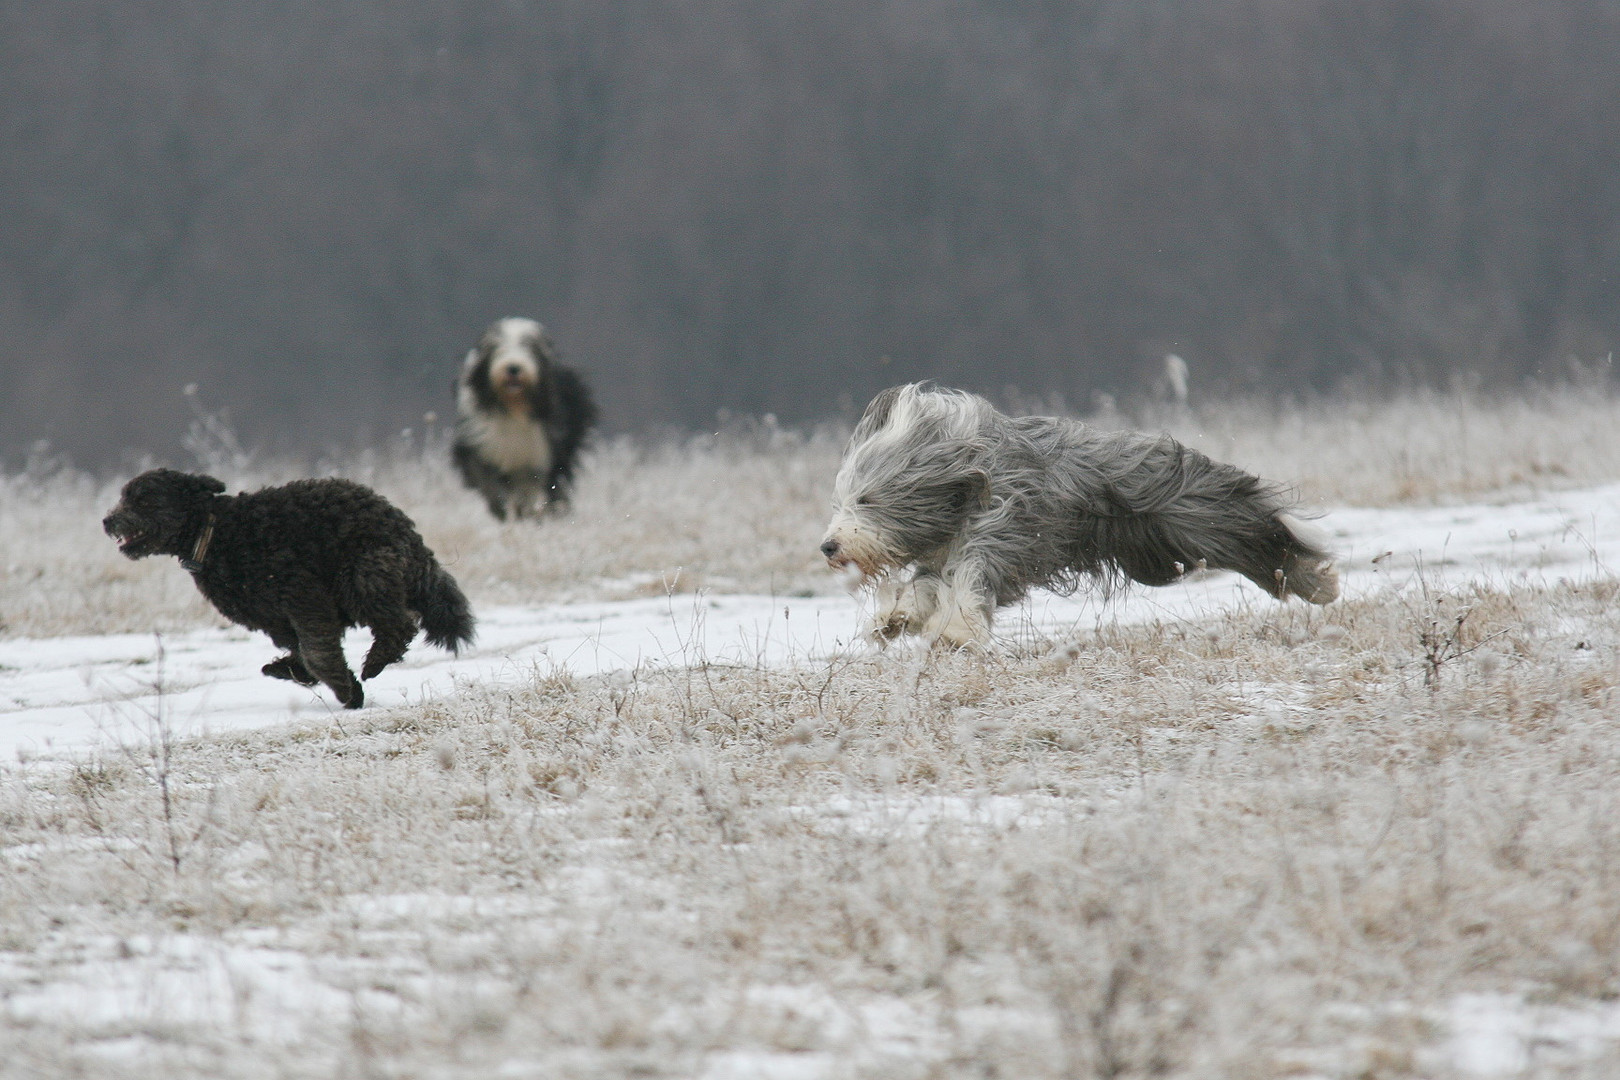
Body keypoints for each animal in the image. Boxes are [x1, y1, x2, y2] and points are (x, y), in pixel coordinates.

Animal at [102, 466, 473, 709]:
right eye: (123, 496)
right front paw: (290, 670)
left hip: (363, 576)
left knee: (399, 625)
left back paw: (375, 663)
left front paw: (345, 691)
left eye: (144, 500)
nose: (107, 521)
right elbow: (303, 653)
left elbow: (318, 653)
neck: (214, 533)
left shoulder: (303, 598)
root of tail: (404, 528)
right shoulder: (276, 619)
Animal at [453, 317, 599, 524]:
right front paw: (502, 510)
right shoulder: (480, 445)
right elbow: (487, 481)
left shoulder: (541, 454)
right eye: (498, 348)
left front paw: (537, 515)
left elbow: (540, 486)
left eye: (530, 348)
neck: (514, 408)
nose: (513, 368)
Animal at [816, 382, 1334, 650]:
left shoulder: (1003, 535)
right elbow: (923, 587)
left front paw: (957, 631)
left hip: (1196, 519)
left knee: (1259, 533)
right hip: (1157, 550)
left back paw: (1319, 582)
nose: (829, 546)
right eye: (842, 501)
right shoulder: (940, 552)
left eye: (868, 499)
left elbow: (970, 579)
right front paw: (893, 619)